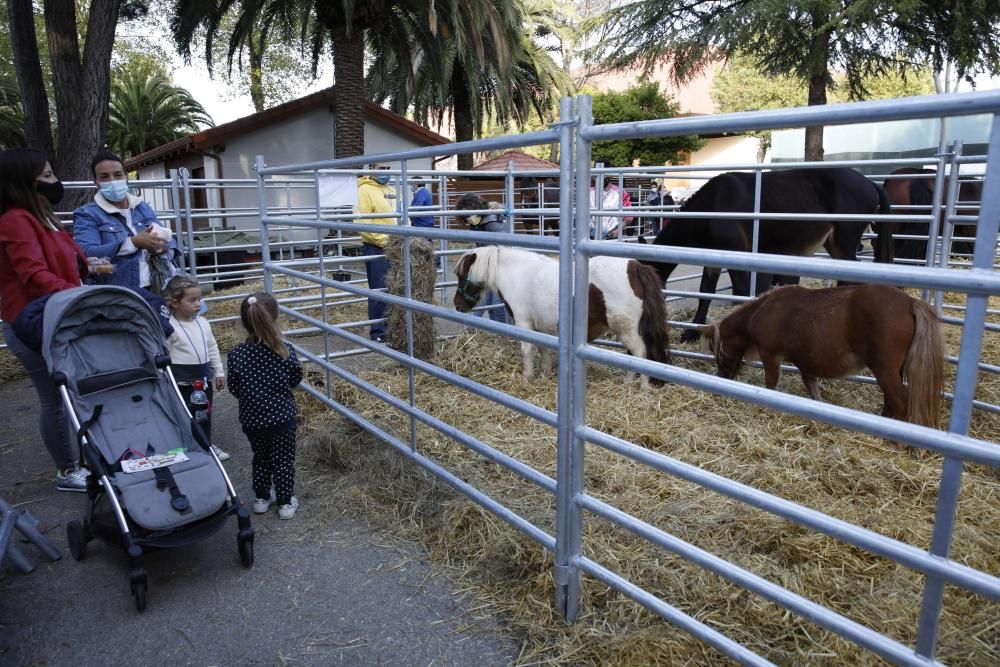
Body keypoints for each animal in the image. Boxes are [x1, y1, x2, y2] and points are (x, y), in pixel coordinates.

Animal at [456, 247, 672, 388]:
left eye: (462, 275)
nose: (457, 305)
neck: (518, 274)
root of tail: (635, 267)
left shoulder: (524, 323)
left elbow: (527, 351)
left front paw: (527, 378)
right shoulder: (539, 327)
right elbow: (543, 350)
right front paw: (545, 375)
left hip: (627, 330)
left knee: (640, 354)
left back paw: (640, 387)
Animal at [644, 167, 896, 344]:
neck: (713, 207)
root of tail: (869, 182)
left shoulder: (736, 255)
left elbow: (742, 291)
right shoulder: (713, 256)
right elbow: (705, 293)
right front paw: (691, 333)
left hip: (845, 242)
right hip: (834, 244)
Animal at [700, 284, 940, 428]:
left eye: (716, 349)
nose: (721, 376)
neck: (762, 311)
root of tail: (911, 303)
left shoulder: (770, 355)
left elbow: (771, 383)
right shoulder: (805, 362)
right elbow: (812, 386)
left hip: (884, 368)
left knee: (899, 400)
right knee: (891, 399)